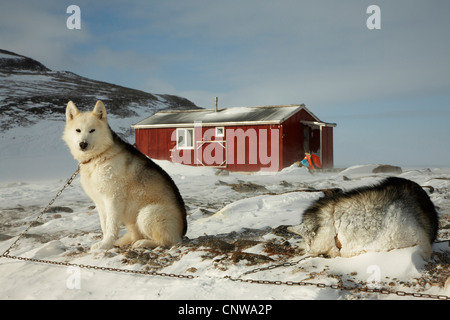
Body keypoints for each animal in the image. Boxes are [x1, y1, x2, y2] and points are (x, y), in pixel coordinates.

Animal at [62, 100, 186, 250]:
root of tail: (182, 232)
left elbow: (111, 227)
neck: (99, 156)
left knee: (169, 242)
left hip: (147, 213)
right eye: (78, 130)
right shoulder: (100, 202)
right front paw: (104, 243)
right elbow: (104, 226)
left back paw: (143, 243)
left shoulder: (113, 199)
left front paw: (105, 245)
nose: (83, 144)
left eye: (92, 130)